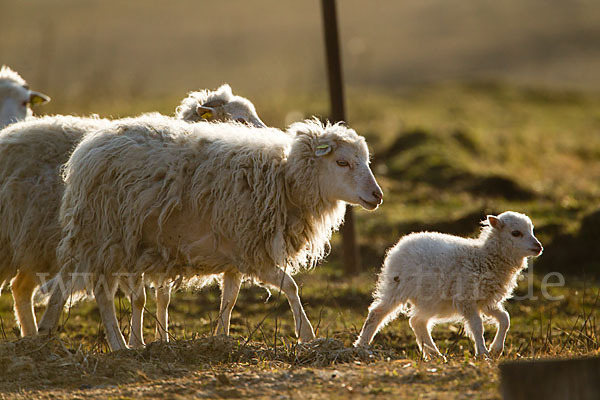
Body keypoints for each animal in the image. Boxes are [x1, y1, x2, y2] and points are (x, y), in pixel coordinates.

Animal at [0, 84, 264, 340]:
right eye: (240, 120)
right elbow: (140, 298)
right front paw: (140, 341)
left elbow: (220, 298)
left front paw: (205, 339)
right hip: (61, 237)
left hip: (42, 246)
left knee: (22, 287)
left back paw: (32, 335)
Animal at [38, 115, 384, 350]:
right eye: (342, 162)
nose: (377, 196)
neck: (285, 179)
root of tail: (87, 148)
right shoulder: (253, 252)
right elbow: (291, 286)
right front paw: (307, 336)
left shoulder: (236, 255)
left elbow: (229, 300)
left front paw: (221, 338)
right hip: (105, 235)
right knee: (102, 294)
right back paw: (117, 344)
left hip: (115, 241)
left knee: (101, 291)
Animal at [356, 212, 544, 360]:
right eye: (516, 233)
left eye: (531, 230)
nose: (538, 247)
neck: (484, 257)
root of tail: (401, 243)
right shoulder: (467, 298)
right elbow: (477, 326)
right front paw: (483, 353)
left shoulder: (485, 300)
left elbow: (505, 318)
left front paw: (496, 350)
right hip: (397, 287)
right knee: (376, 313)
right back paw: (362, 346)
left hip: (430, 299)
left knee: (417, 321)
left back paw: (435, 354)